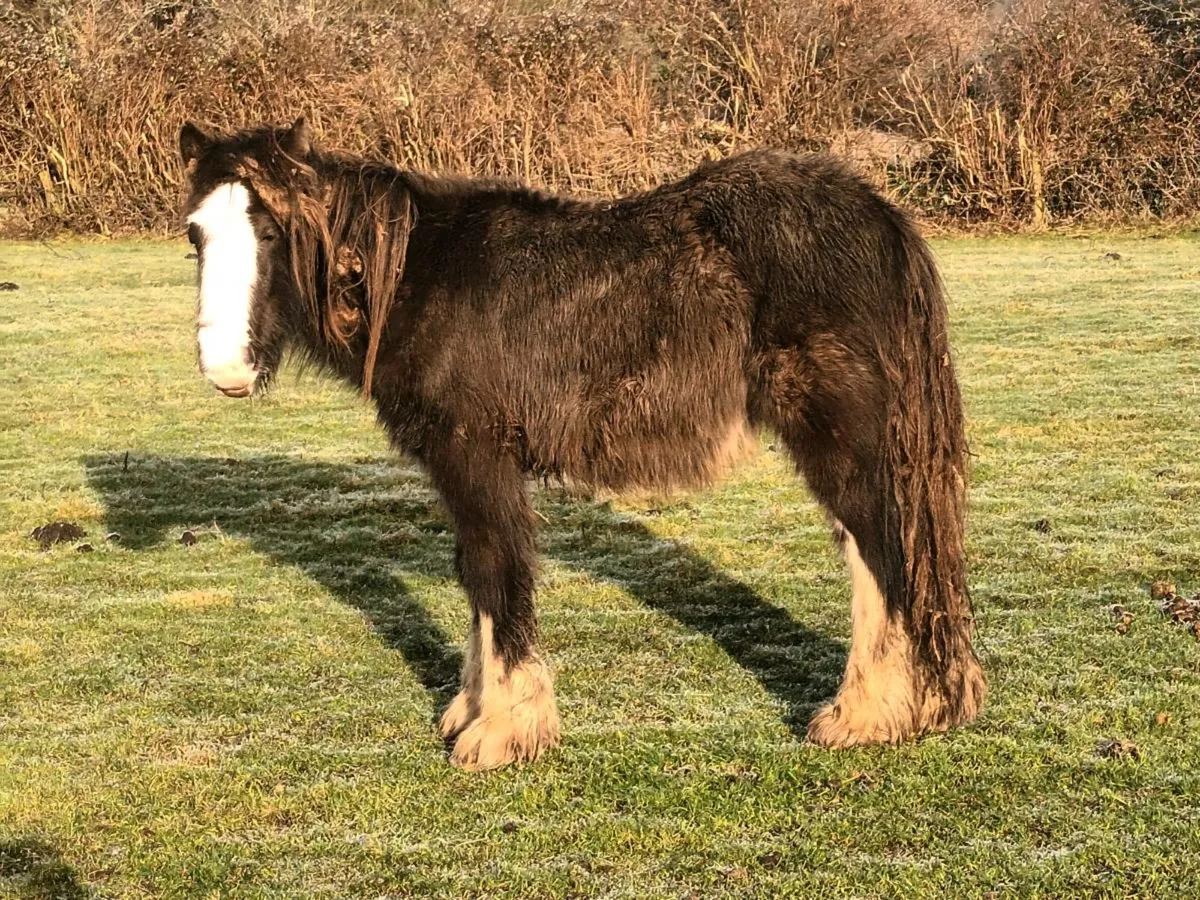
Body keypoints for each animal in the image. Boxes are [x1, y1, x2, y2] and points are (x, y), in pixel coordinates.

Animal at [179, 117, 985, 770]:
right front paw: (471, 712)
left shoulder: (478, 459)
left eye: (274, 230)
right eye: (195, 235)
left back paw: (868, 715)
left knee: (883, 555)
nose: (224, 370)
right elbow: (474, 577)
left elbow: (497, 576)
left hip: (842, 443)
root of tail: (880, 216)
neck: (414, 279)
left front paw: (503, 732)